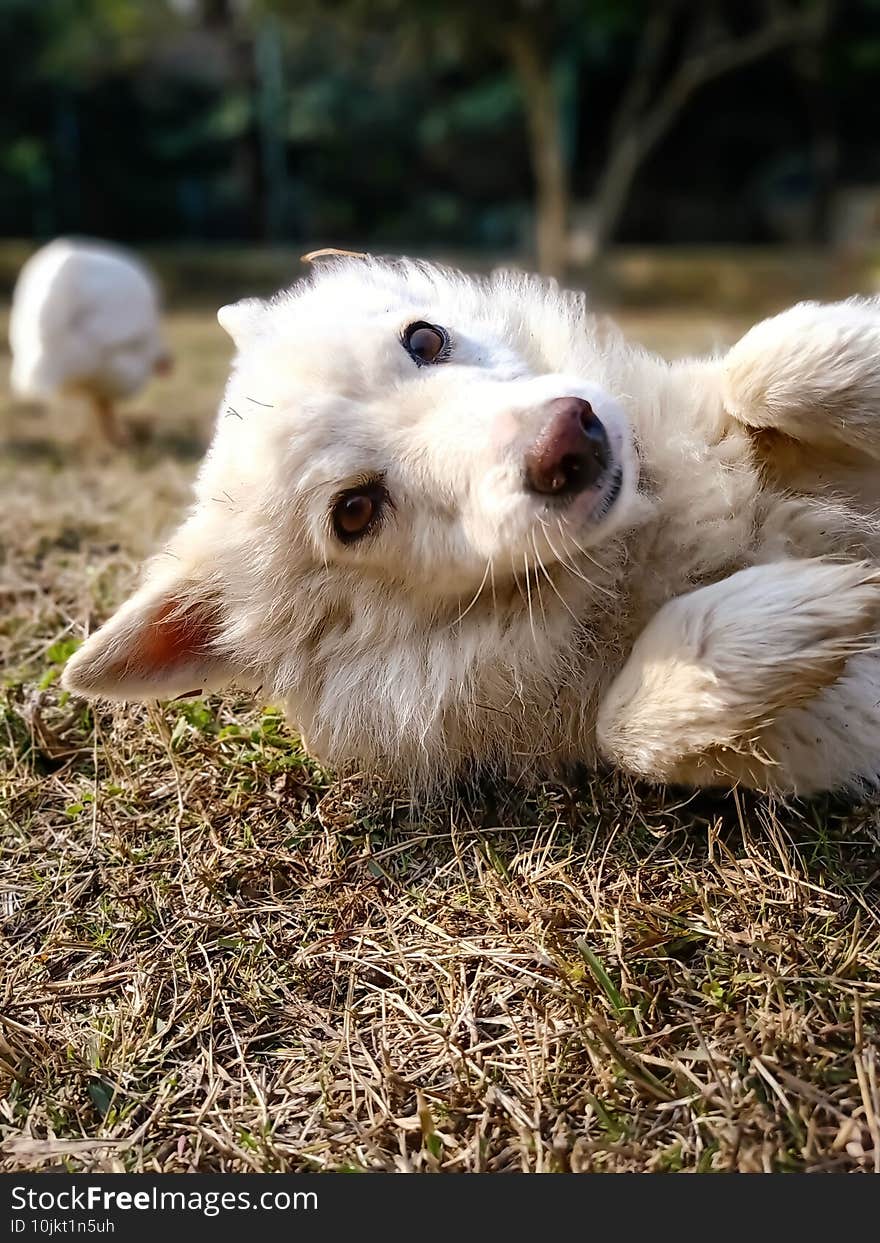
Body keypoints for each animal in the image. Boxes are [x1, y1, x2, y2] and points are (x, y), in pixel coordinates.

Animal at [63, 254, 880, 795]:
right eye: (353, 512)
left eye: (425, 339)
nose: (569, 441)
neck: (640, 539)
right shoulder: (818, 738)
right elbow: (622, 729)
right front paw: (791, 621)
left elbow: (763, 368)